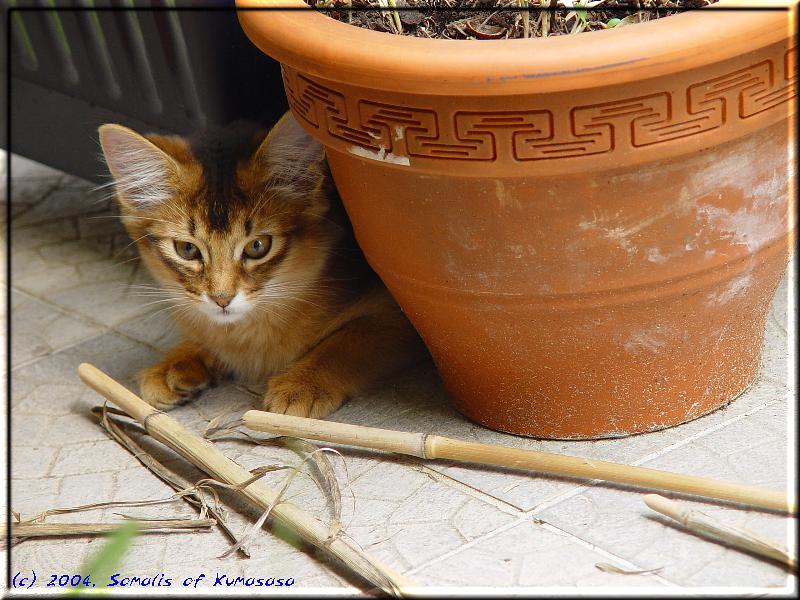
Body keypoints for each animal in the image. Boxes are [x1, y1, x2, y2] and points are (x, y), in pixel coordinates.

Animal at [98, 115, 424, 420]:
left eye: (257, 246)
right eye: (187, 250)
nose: (222, 299)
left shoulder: (394, 313)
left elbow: (347, 340)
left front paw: (302, 384)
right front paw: (173, 363)